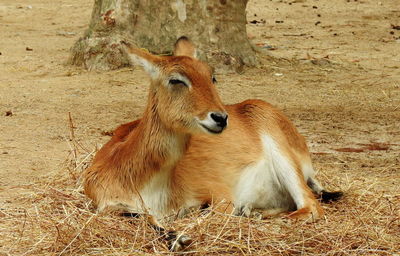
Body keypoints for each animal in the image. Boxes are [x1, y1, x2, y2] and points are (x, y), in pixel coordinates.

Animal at [83, 37, 342, 251]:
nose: (220, 117)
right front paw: (176, 238)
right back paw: (253, 212)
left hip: (284, 158)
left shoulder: (219, 197)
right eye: (176, 79)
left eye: (212, 77)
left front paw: (182, 237)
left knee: (310, 206)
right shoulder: (109, 206)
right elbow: (145, 220)